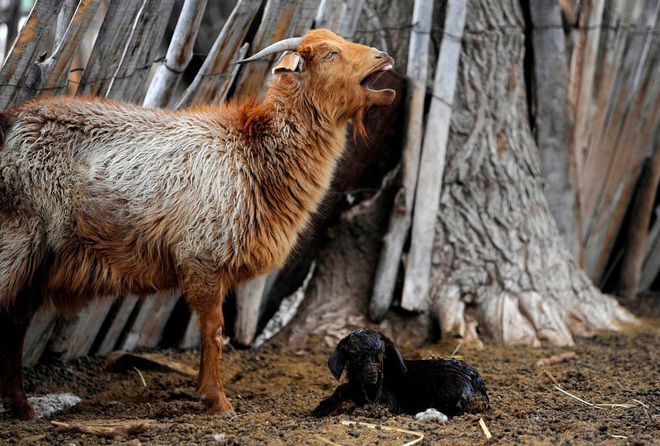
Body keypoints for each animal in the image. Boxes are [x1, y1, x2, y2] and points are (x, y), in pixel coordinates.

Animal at [0, 29, 394, 420]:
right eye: (329, 54)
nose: (384, 57)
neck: (251, 154)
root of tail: (12, 119)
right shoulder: (201, 257)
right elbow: (213, 331)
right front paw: (218, 401)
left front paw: (207, 395)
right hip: (16, 239)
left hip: (36, 264)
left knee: (16, 324)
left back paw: (23, 408)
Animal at [314, 328, 490, 418]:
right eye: (353, 353)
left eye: (382, 352)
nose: (371, 375)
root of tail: (476, 378)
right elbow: (339, 392)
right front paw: (319, 410)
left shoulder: (389, 401)